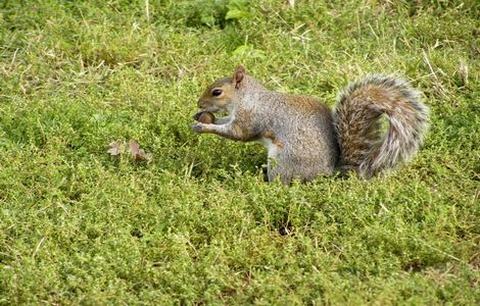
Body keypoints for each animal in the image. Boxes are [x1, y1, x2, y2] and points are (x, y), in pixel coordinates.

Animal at [193, 65, 430, 183]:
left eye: (217, 92)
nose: (199, 103)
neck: (247, 98)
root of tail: (330, 172)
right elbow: (225, 121)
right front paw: (200, 117)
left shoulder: (250, 118)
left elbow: (237, 133)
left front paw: (203, 127)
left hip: (283, 161)